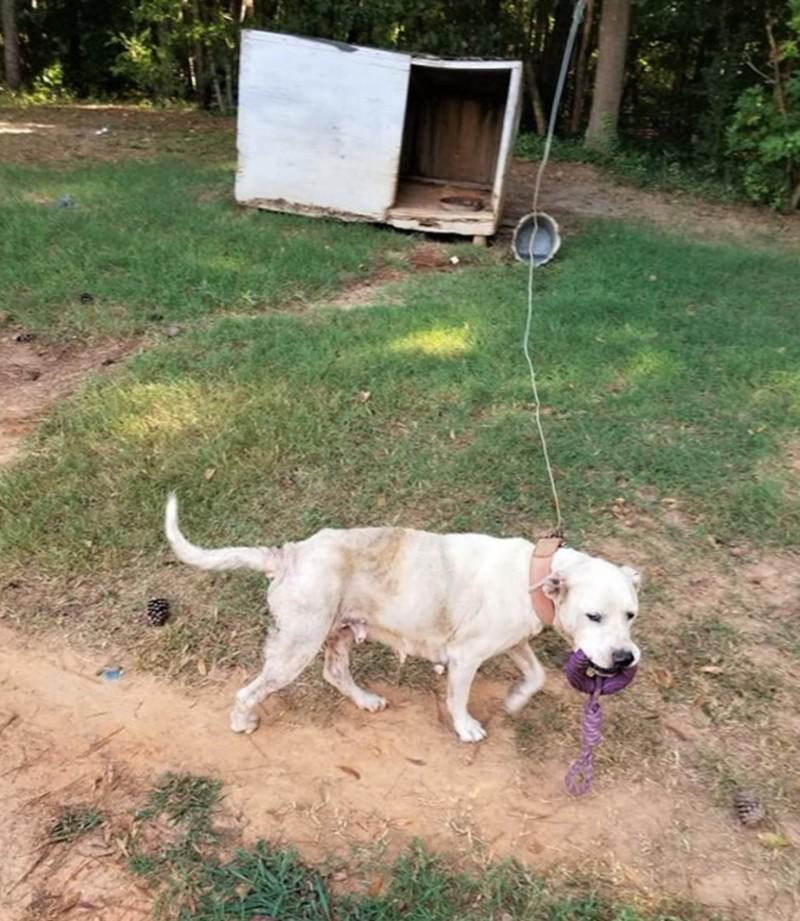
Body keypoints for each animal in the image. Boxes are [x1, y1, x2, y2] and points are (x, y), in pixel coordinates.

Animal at [164, 496, 636, 740]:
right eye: (594, 616)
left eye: (631, 615)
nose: (625, 658)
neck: (535, 576)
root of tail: (289, 555)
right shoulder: (466, 656)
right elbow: (458, 698)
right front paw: (466, 728)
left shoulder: (513, 641)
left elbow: (536, 675)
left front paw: (516, 700)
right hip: (296, 646)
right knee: (250, 690)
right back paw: (242, 722)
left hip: (338, 633)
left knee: (335, 673)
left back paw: (365, 700)